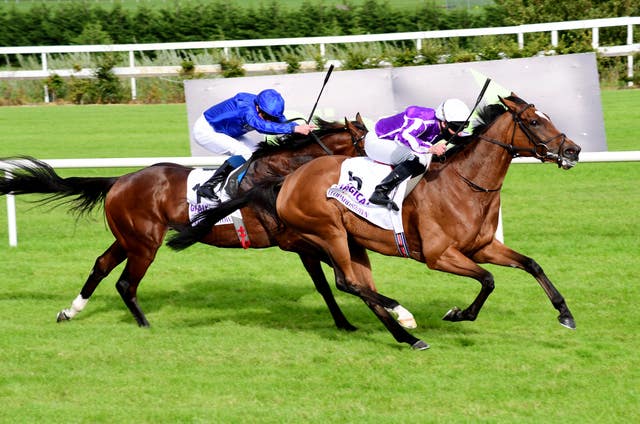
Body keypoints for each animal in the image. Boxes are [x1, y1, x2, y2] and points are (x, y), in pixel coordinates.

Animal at [0, 115, 368, 328]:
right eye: (365, 142)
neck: (283, 172)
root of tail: (118, 180)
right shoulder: (294, 240)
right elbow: (336, 275)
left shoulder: (302, 243)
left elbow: (325, 282)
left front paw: (345, 323)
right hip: (144, 243)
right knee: (125, 283)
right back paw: (145, 324)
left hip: (128, 238)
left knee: (101, 265)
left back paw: (70, 311)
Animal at [184, 94, 580, 350]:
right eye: (533, 121)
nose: (572, 150)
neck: (466, 184)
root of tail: (289, 179)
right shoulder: (440, 255)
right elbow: (488, 280)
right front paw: (457, 314)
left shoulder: (482, 246)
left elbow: (531, 264)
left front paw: (565, 314)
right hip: (328, 233)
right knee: (346, 283)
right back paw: (403, 317)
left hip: (352, 242)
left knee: (358, 285)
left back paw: (407, 334)